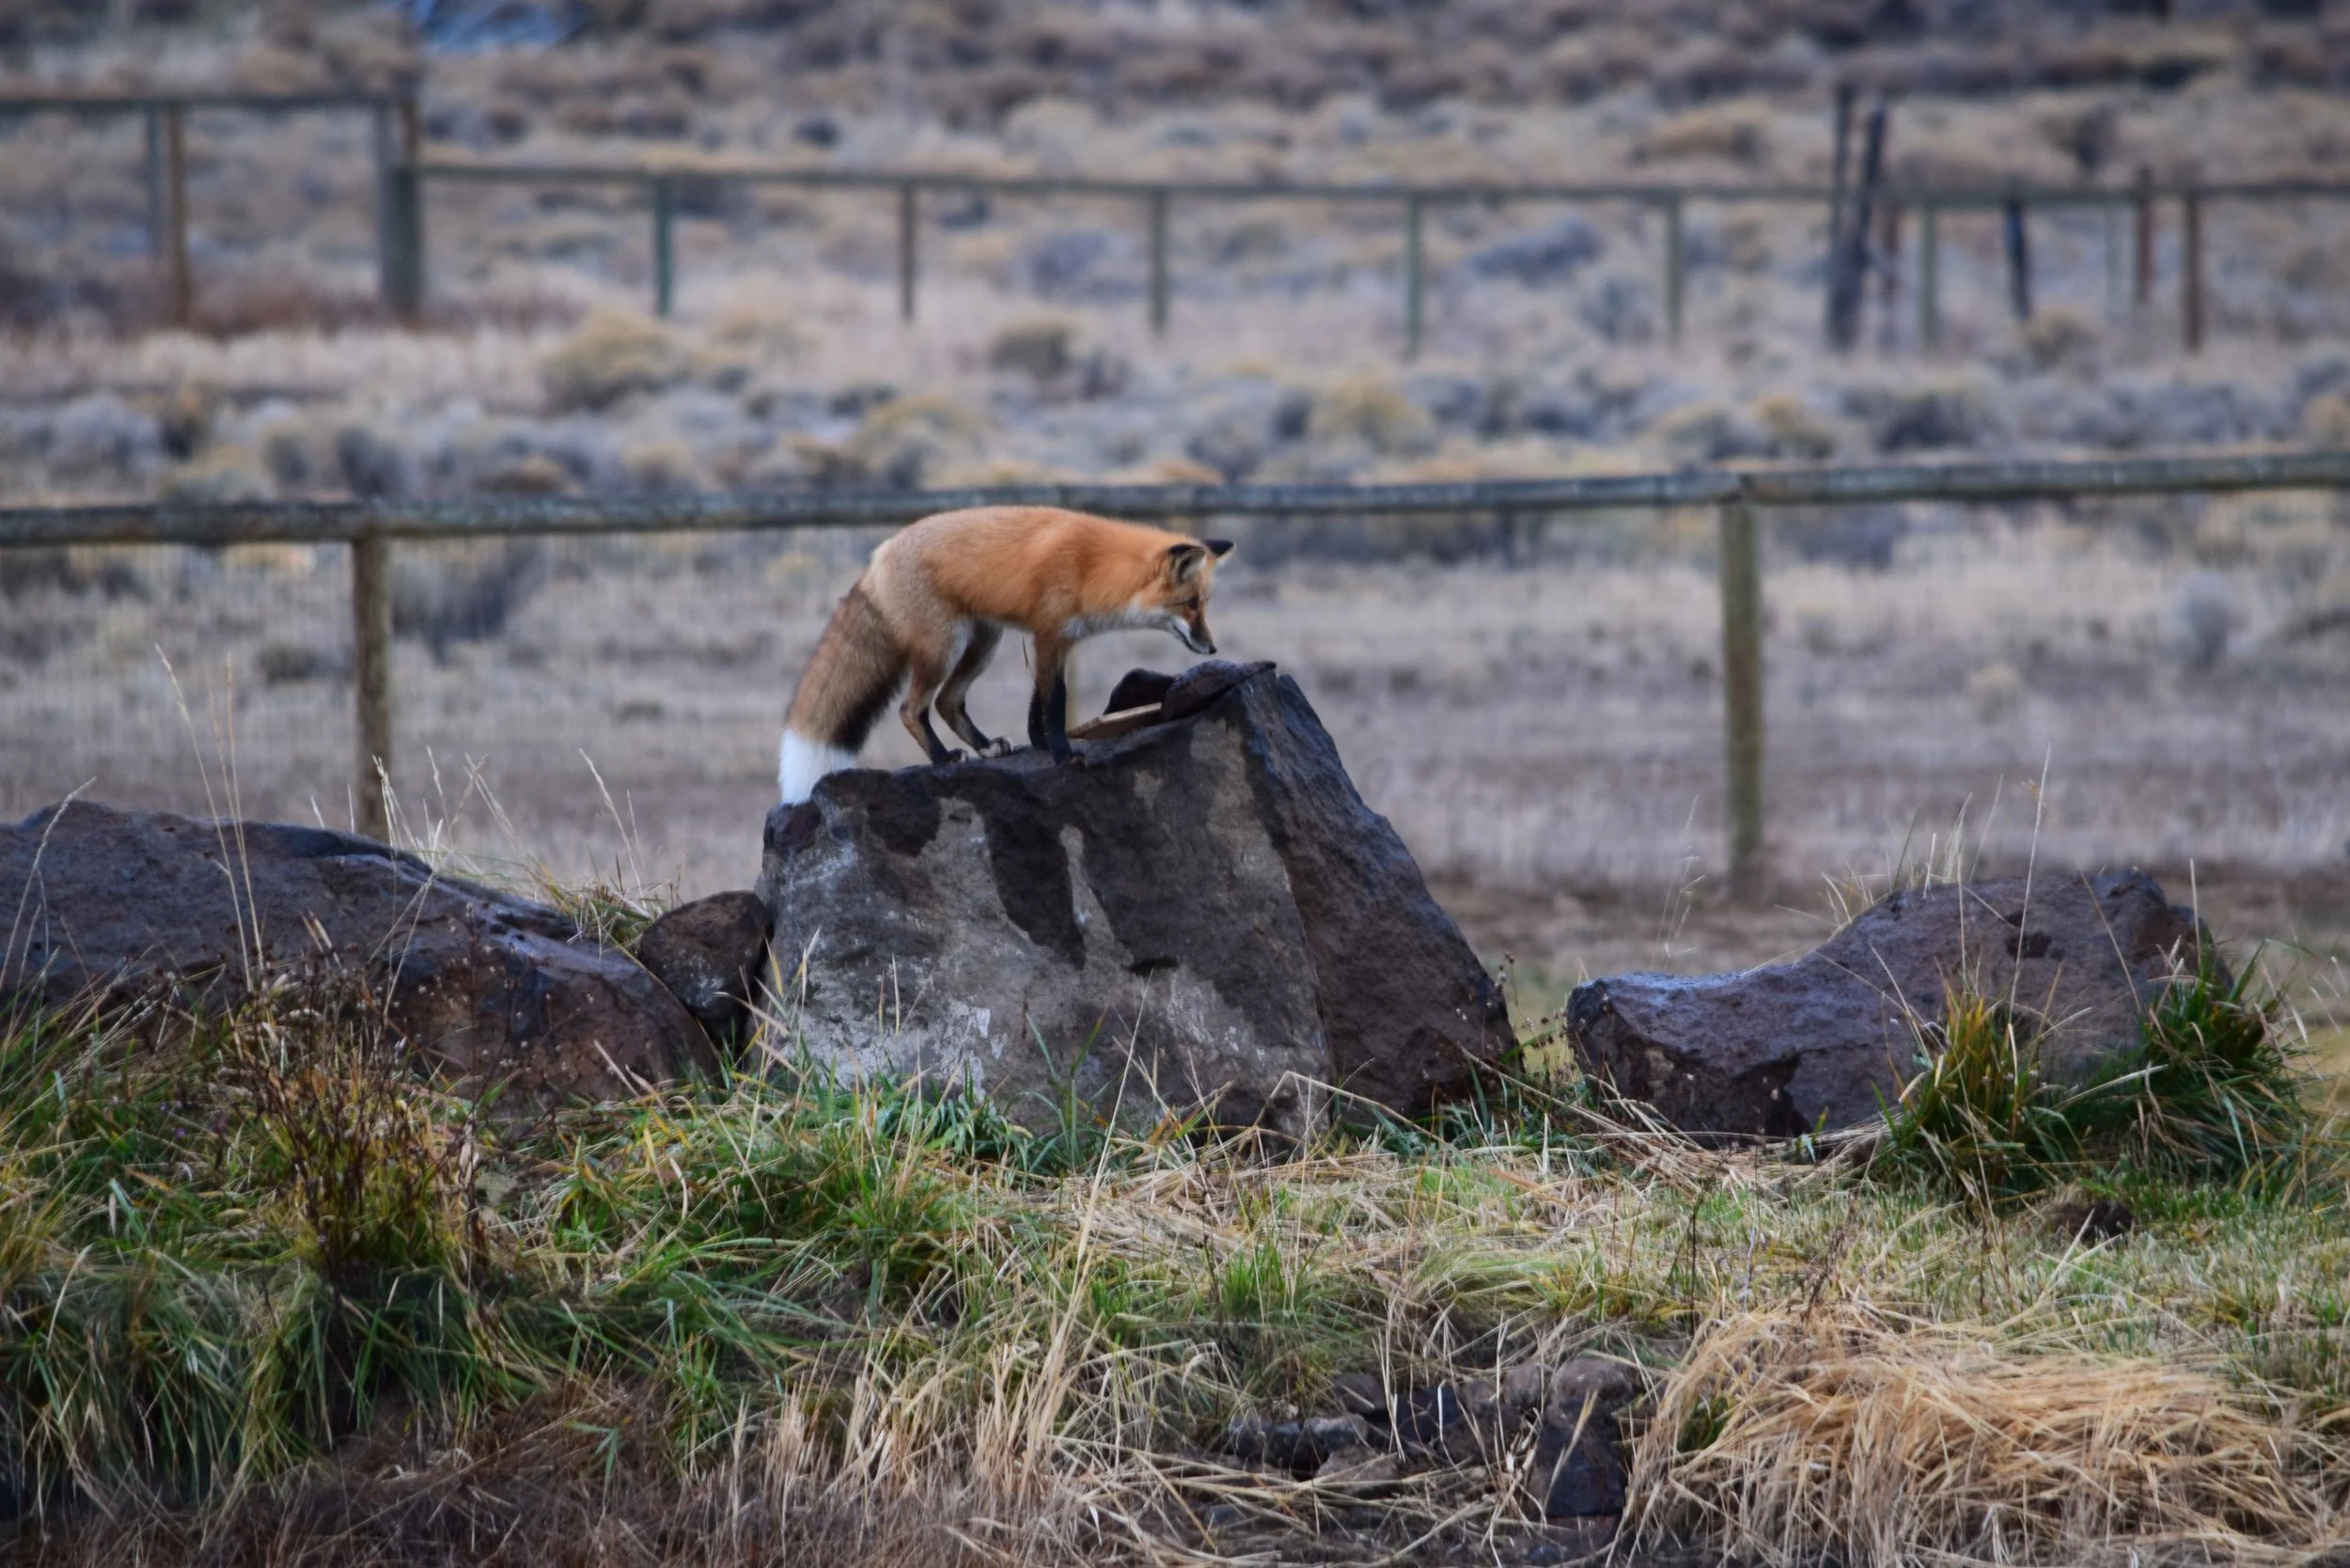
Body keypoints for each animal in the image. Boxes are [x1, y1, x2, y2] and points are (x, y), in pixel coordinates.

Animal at [778, 505, 1235, 804]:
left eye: (1204, 604)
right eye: (1190, 605)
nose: (1212, 647)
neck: (1092, 567)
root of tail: (878, 556)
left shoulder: (1054, 641)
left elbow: (1039, 703)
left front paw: (1040, 745)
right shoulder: (1048, 635)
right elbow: (1055, 700)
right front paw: (1063, 755)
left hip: (983, 644)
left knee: (947, 702)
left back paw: (985, 747)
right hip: (944, 646)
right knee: (912, 708)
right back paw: (943, 758)